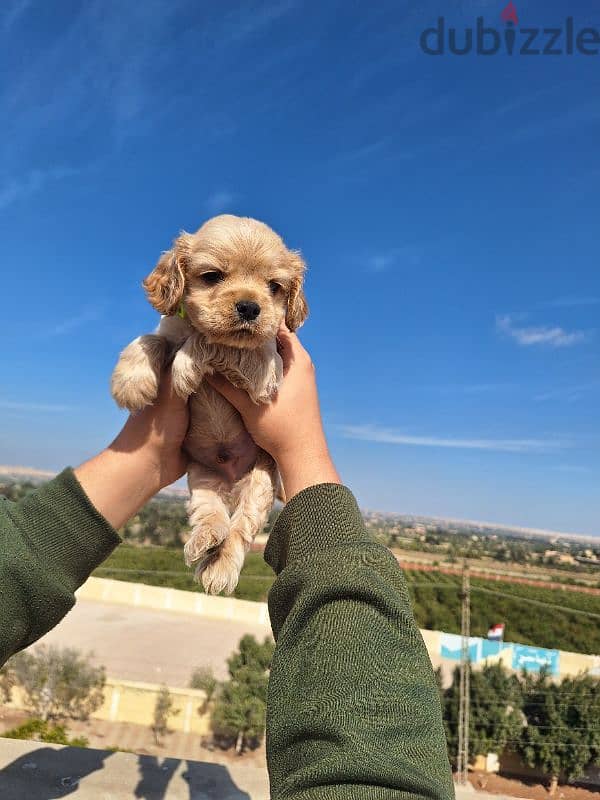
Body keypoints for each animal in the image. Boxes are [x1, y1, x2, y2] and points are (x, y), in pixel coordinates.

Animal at [112, 216, 308, 592]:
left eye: (274, 286)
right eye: (213, 275)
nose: (250, 307)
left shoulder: (265, 368)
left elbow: (213, 342)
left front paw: (186, 366)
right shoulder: (170, 329)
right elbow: (152, 339)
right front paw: (130, 381)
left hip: (260, 481)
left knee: (241, 527)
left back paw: (220, 567)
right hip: (203, 477)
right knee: (211, 513)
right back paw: (206, 539)